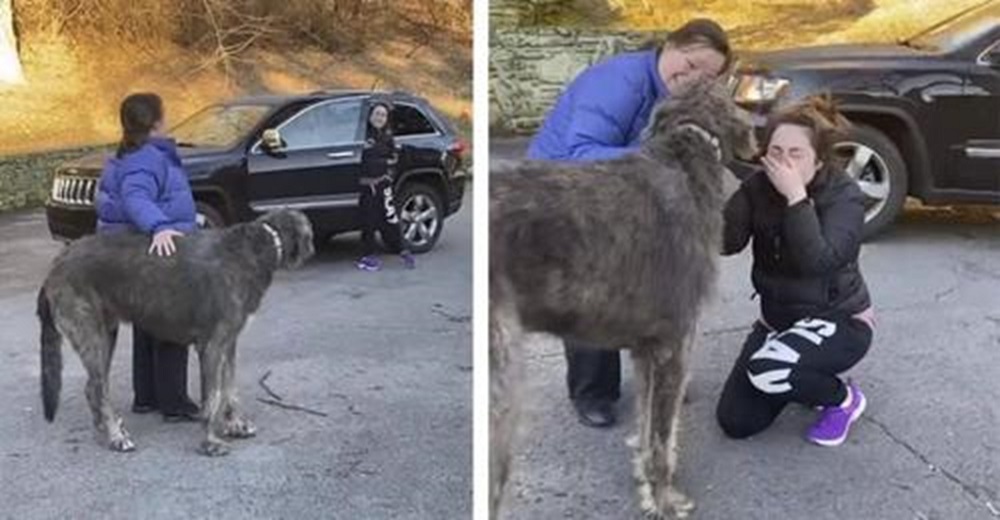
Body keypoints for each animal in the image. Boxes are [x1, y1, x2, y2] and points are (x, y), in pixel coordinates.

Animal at [39, 210, 312, 456]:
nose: (312, 250)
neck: (255, 248)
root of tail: (56, 264)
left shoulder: (229, 341)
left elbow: (229, 387)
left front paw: (236, 424)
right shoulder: (212, 345)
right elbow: (213, 396)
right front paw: (210, 442)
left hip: (106, 334)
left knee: (93, 387)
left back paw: (106, 430)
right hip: (90, 333)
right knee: (98, 388)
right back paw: (116, 437)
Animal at [488, 79, 752, 516]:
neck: (685, 150)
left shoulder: (647, 350)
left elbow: (647, 428)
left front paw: (645, 485)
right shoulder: (674, 346)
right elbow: (661, 440)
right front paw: (665, 502)